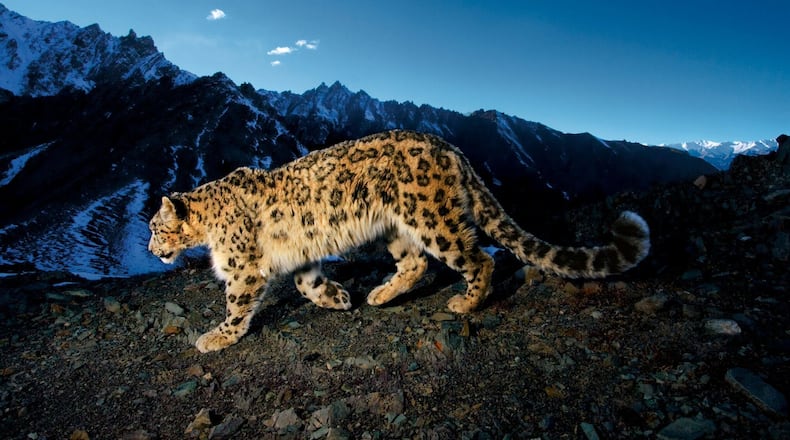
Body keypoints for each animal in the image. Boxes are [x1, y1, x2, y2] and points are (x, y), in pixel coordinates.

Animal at [148, 130, 650, 353]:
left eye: (154, 227)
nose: (151, 249)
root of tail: (451, 148)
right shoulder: (301, 257)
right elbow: (307, 284)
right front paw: (338, 298)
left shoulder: (243, 268)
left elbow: (237, 304)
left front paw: (216, 336)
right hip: (395, 228)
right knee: (416, 264)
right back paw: (378, 295)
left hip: (433, 218)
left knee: (476, 258)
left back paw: (465, 303)